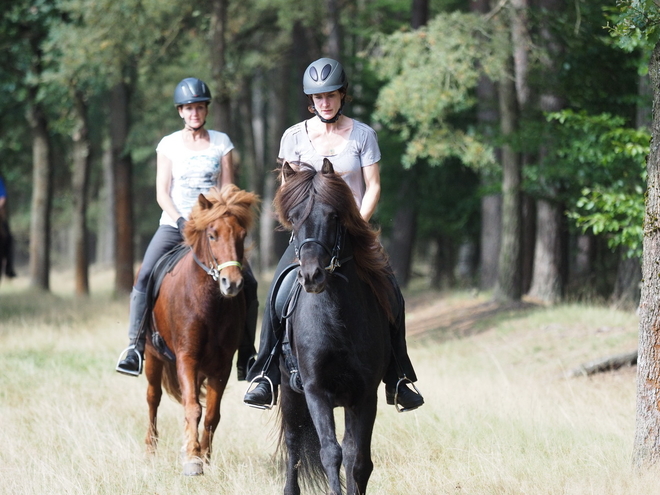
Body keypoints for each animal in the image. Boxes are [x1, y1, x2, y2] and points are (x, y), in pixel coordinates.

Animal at [143, 185, 260, 476]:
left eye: (242, 235)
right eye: (212, 235)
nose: (233, 283)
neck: (209, 304)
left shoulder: (222, 365)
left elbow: (210, 414)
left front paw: (204, 456)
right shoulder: (187, 357)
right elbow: (193, 408)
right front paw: (193, 460)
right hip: (152, 355)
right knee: (153, 398)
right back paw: (150, 450)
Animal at [272, 160, 394, 495]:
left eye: (333, 216)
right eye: (293, 217)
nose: (312, 276)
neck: (337, 319)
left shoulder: (364, 395)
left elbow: (357, 459)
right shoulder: (316, 390)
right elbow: (330, 452)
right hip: (290, 391)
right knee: (294, 444)